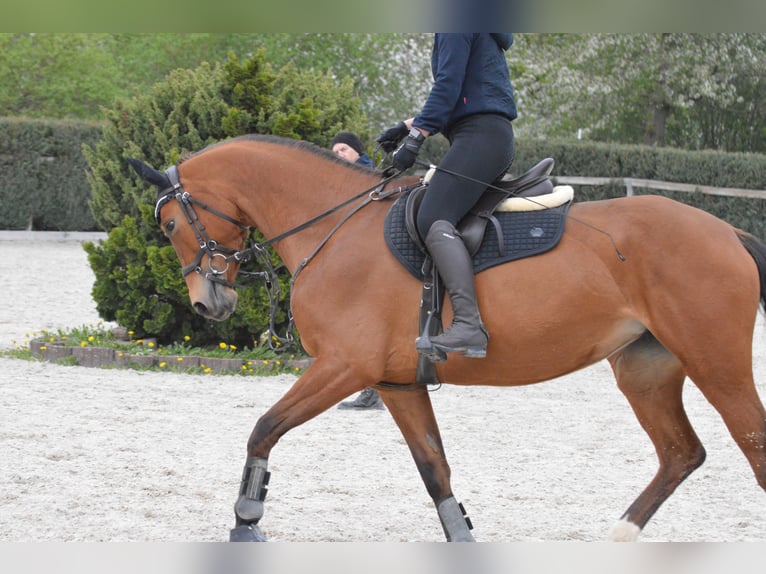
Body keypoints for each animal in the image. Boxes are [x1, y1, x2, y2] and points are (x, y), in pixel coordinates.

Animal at [127, 136, 766, 544]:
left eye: (170, 224)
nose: (209, 304)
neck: (334, 227)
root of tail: (728, 231)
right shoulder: (396, 382)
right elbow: (434, 468)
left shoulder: (342, 367)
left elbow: (264, 428)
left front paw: (245, 520)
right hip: (644, 370)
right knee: (682, 453)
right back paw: (619, 537)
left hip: (716, 362)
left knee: (751, 448)